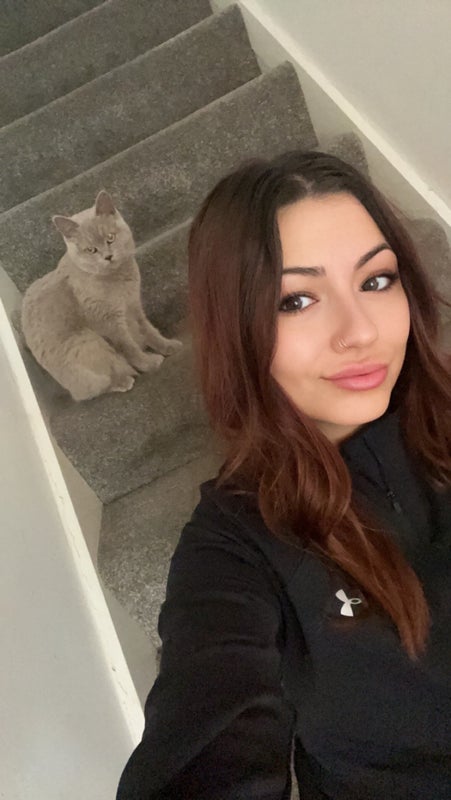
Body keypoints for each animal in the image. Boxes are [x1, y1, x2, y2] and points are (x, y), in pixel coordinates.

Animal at [21, 190, 183, 401]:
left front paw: (169, 346)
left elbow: (149, 330)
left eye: (110, 238)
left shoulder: (133, 305)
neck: (119, 280)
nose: (108, 256)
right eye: (91, 250)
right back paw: (124, 380)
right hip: (87, 341)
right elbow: (128, 346)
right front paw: (149, 363)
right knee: (91, 388)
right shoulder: (109, 322)